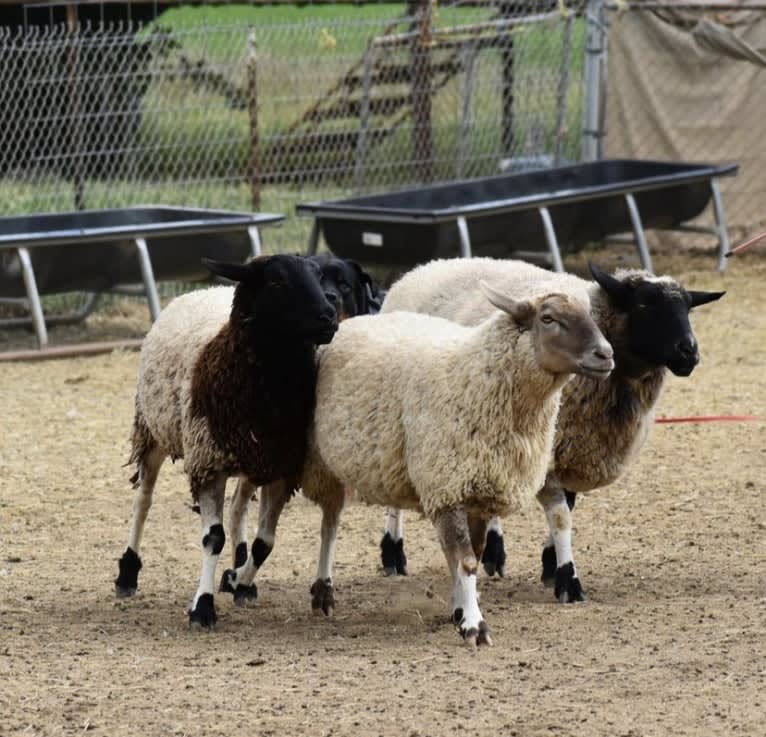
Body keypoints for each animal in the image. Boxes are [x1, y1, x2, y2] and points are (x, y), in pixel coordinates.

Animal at [115, 253, 340, 628]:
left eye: (319, 275)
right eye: (277, 281)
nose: (329, 316)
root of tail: (204, 290)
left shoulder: (281, 467)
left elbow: (265, 542)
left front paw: (237, 580)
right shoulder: (209, 463)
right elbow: (213, 538)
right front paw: (203, 607)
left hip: (251, 459)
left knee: (238, 508)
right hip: (153, 429)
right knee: (143, 502)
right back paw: (127, 572)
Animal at [296, 282, 616, 644]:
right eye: (548, 318)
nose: (606, 355)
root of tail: (354, 320)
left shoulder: (478, 492)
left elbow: (472, 554)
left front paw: (462, 607)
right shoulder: (446, 485)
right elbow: (465, 562)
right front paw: (475, 624)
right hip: (322, 462)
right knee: (330, 525)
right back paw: (322, 590)